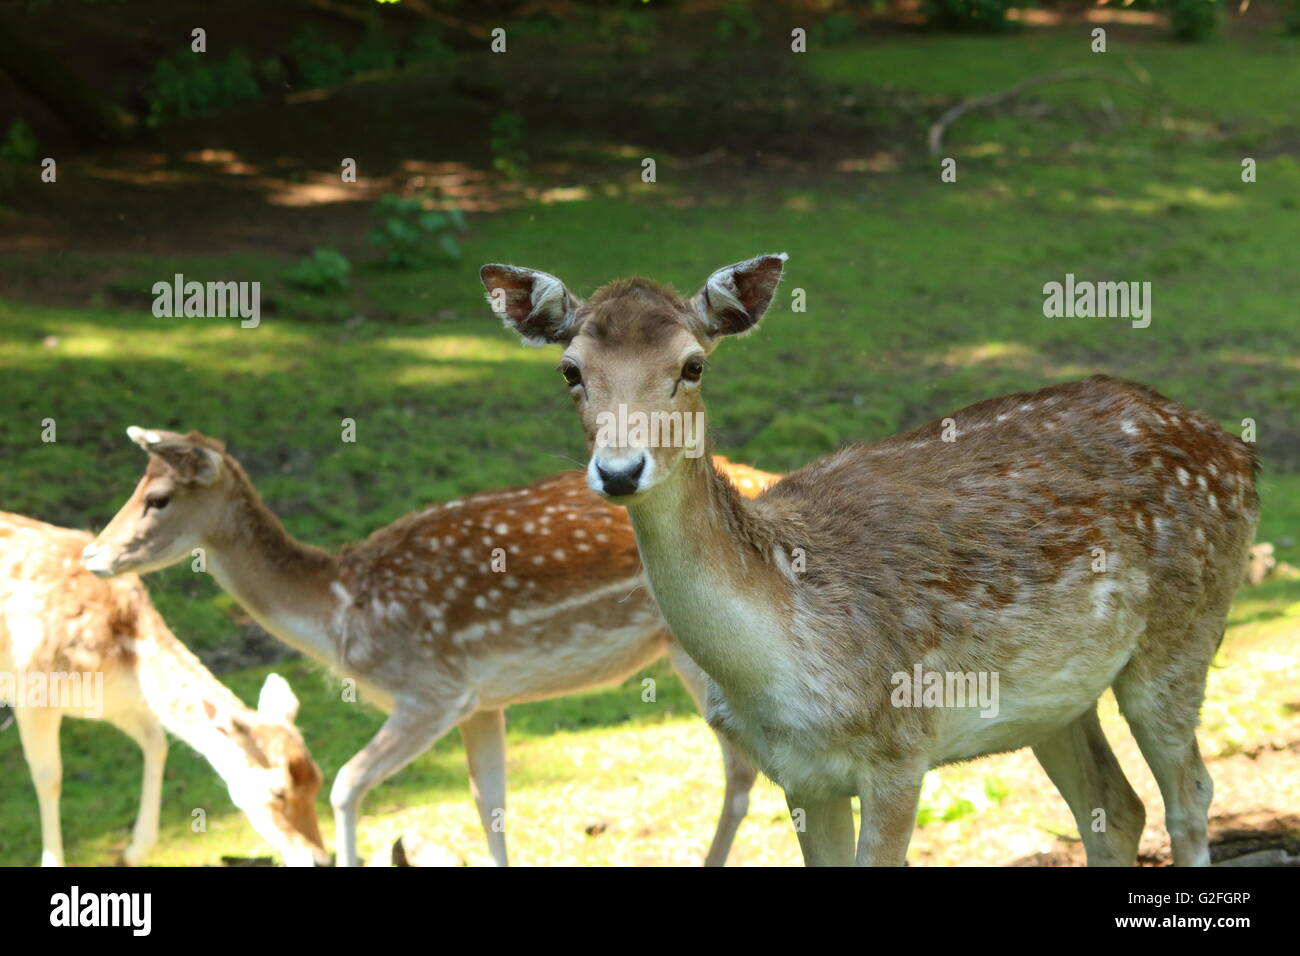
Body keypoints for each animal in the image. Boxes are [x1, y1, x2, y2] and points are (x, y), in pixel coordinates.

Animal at [1, 515, 325, 868]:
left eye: (318, 779)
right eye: (277, 791)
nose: (319, 858)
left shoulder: (115, 703)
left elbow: (157, 741)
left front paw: (134, 850)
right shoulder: (33, 694)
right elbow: (49, 777)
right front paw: (53, 861)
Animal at [81, 431, 774, 868]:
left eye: (158, 499)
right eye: (137, 488)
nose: (93, 556)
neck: (340, 609)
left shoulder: (434, 688)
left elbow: (346, 785)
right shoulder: (484, 701)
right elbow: (490, 803)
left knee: (743, 770)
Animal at [480, 254, 1258, 868]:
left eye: (692, 365)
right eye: (570, 371)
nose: (619, 470)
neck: (781, 662)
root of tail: (1238, 451)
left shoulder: (900, 749)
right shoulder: (799, 777)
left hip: (1184, 633)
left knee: (1190, 790)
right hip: (1057, 701)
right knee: (1116, 808)